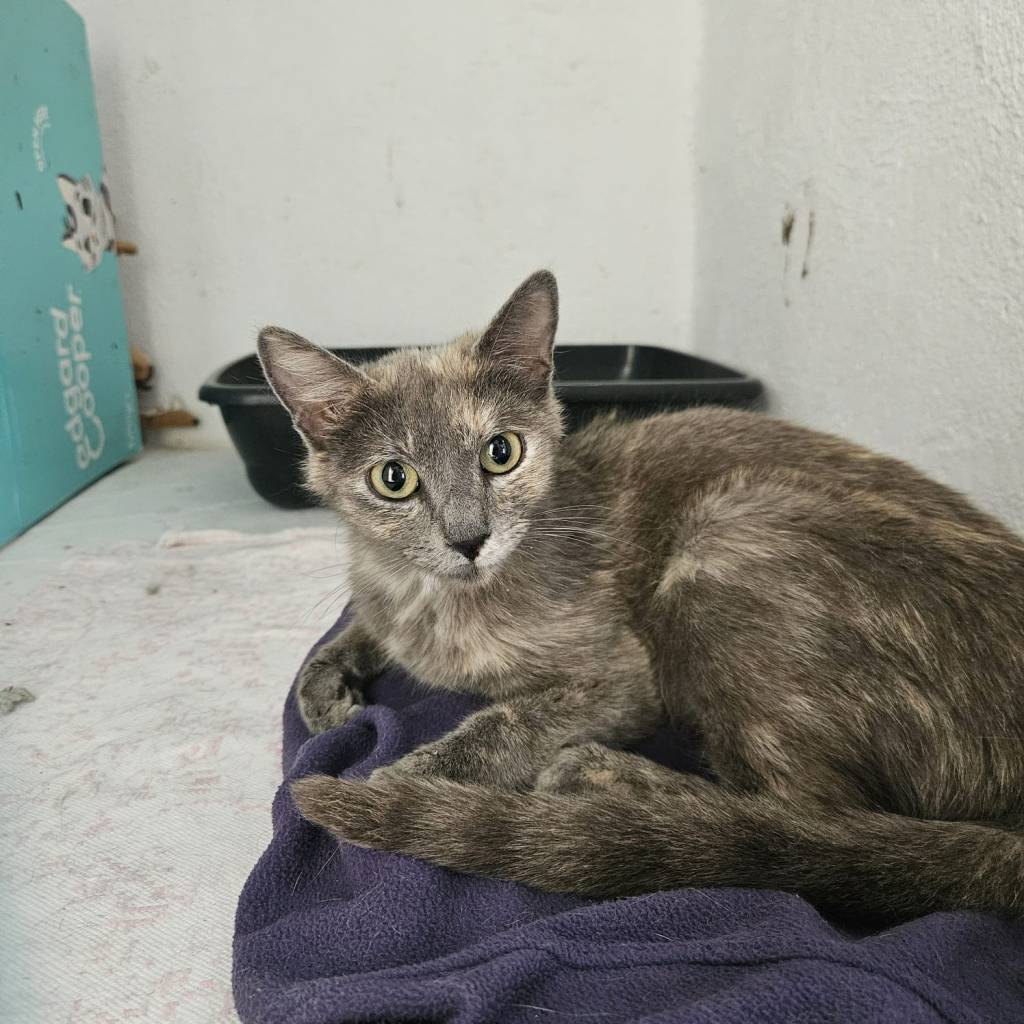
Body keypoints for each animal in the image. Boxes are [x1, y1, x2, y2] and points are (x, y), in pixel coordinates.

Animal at [258, 271, 1024, 921]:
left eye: (502, 453)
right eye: (394, 479)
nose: (469, 537)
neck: (430, 600)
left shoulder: (624, 677)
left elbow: (507, 721)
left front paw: (403, 780)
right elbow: (347, 633)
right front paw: (327, 695)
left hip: (726, 538)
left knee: (804, 816)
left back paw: (604, 781)